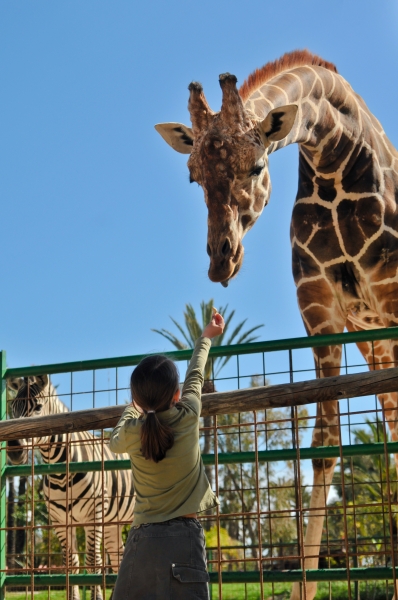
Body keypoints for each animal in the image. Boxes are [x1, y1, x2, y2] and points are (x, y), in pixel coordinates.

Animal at [6, 376, 135, 600]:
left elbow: (93, 563)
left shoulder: (94, 514)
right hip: (113, 522)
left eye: (38, 407)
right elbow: (71, 564)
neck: (60, 473)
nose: (14, 450)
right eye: (13, 409)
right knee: (117, 556)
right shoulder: (59, 520)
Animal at [155, 49, 398, 596]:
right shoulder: (319, 306)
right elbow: (324, 444)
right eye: (193, 176)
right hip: (373, 340)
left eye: (258, 164)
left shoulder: (392, 292)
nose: (221, 261)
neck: (335, 160)